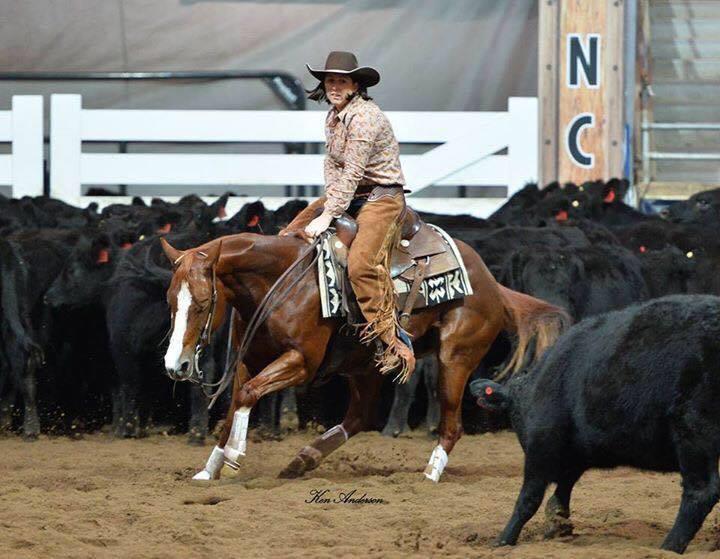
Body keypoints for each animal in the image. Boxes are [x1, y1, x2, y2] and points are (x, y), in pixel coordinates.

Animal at [161, 229, 569, 483]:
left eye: (202, 303)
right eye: (169, 301)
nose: (175, 365)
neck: (280, 284)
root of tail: (492, 284)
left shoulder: (301, 363)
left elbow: (246, 396)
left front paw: (233, 457)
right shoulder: (250, 361)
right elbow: (234, 406)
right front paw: (208, 469)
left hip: (455, 359)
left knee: (451, 425)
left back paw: (430, 474)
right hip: (365, 367)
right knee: (359, 417)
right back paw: (303, 459)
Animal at [472, 294, 720, 554]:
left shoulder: (542, 448)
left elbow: (529, 499)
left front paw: (503, 540)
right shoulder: (574, 456)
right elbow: (560, 495)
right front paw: (557, 527)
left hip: (693, 430)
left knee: (700, 491)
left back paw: (668, 546)